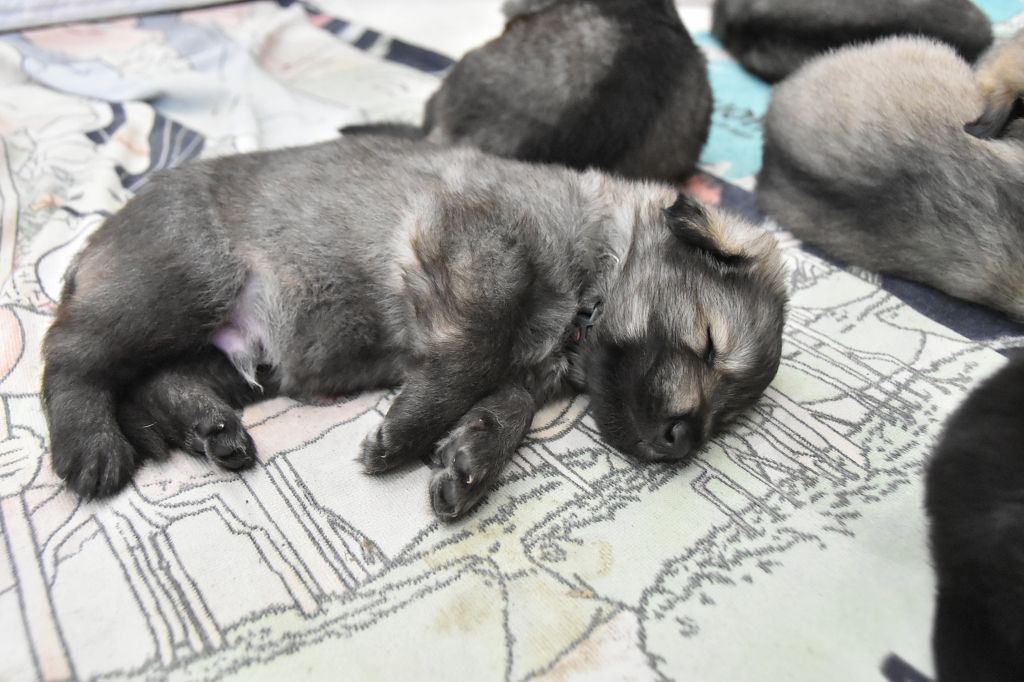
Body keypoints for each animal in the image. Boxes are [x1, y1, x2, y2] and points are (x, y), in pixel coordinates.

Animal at [41, 136, 787, 520]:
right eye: (709, 345)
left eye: (727, 416)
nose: (683, 441)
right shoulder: (483, 252)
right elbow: (474, 355)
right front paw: (407, 432)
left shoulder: (527, 371)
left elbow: (505, 408)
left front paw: (468, 462)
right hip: (179, 284)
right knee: (72, 357)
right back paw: (90, 447)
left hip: (234, 354)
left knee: (157, 381)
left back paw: (212, 430)